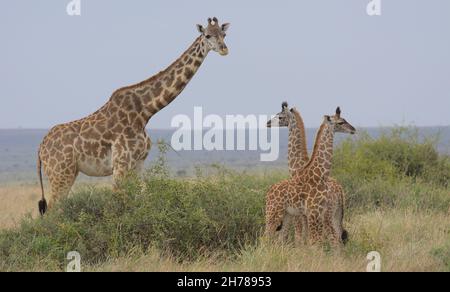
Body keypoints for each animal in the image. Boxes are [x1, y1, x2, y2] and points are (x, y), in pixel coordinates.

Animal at [37, 18, 230, 214]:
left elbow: (139, 200)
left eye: (224, 34)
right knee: (52, 211)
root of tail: (40, 149)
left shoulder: (138, 163)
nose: (224, 49)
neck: (145, 112)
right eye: (207, 35)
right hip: (60, 173)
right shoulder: (120, 164)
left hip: (70, 172)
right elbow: (116, 204)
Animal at [266, 106, 356, 244]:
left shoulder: (305, 215)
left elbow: (303, 239)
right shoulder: (305, 215)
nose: (353, 129)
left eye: (280, 116)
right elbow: (305, 239)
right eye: (341, 122)